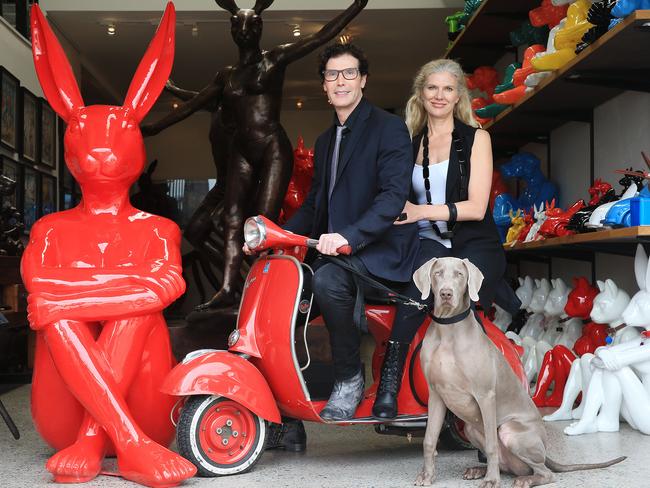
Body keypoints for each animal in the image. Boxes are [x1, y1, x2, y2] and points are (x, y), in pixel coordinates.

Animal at [412, 258, 624, 486]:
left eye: (460, 274)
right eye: (438, 273)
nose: (446, 294)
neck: (448, 329)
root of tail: (545, 452)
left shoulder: (485, 395)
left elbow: (492, 445)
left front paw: (491, 481)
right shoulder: (436, 395)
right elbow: (429, 440)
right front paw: (427, 476)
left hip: (510, 431)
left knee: (544, 472)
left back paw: (522, 479)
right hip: (470, 428)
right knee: (508, 465)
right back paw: (479, 470)